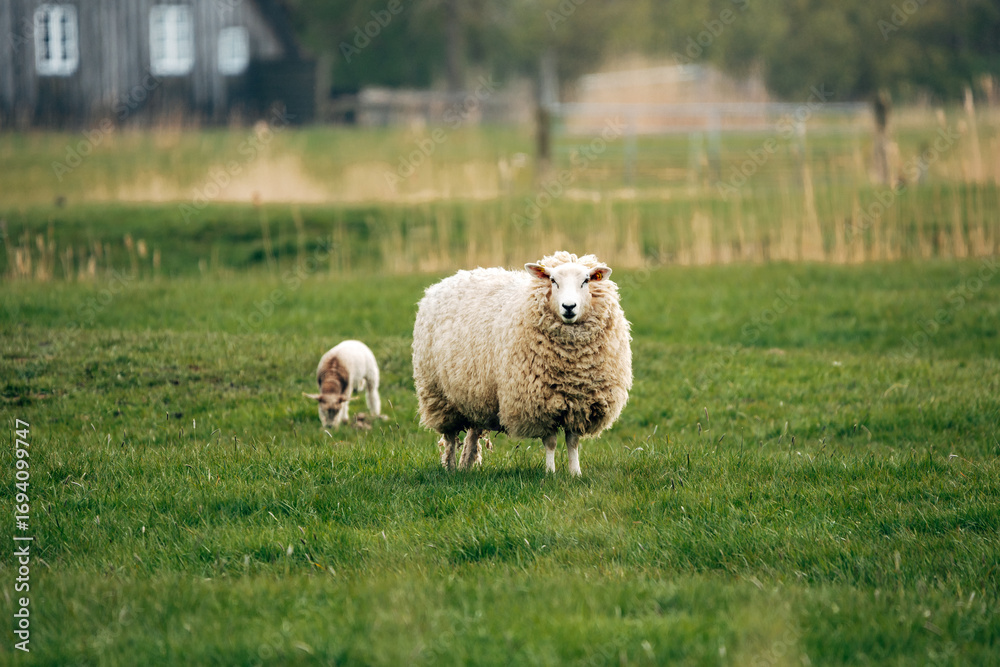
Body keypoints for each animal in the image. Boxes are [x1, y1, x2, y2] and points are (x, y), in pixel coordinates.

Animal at [412, 251, 632, 475]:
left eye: (586, 281)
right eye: (553, 280)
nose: (569, 307)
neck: (572, 364)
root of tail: (445, 281)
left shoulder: (579, 404)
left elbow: (573, 442)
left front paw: (575, 473)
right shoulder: (539, 404)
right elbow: (551, 442)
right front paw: (550, 473)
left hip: (475, 393)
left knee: (472, 432)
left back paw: (466, 466)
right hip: (438, 395)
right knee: (450, 437)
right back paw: (451, 468)